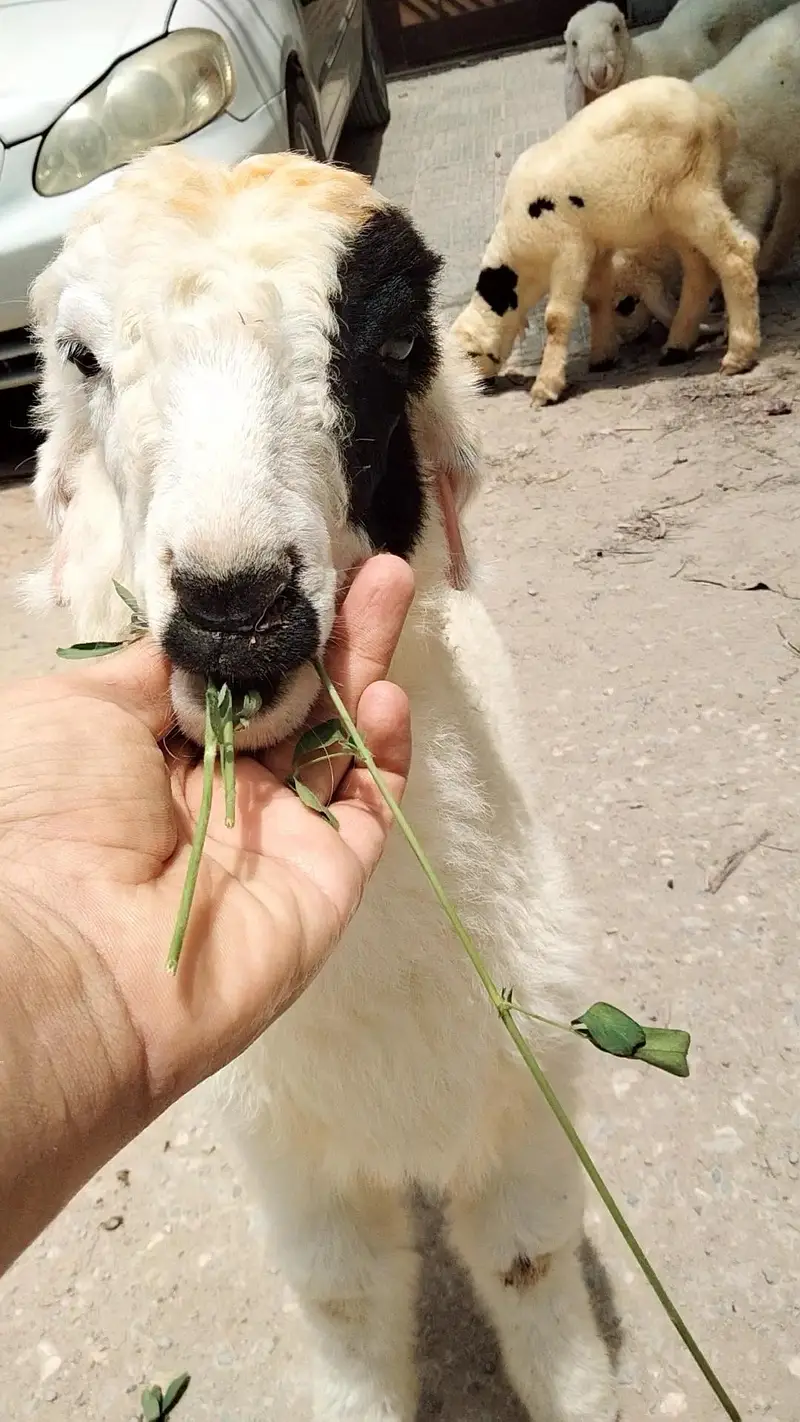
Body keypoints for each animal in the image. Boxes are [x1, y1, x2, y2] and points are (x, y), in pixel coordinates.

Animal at [26, 146, 619, 1422]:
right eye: (82, 357)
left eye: (394, 344)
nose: (235, 612)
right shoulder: (293, 1162)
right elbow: (344, 1301)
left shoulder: (524, 1103)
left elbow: (529, 1263)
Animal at [451, 75, 760, 407]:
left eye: (468, 356)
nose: (471, 391)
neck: (521, 263)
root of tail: (714, 106)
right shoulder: (595, 247)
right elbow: (596, 300)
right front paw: (602, 357)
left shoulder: (569, 249)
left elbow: (556, 318)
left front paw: (546, 387)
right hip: (672, 215)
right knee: (699, 270)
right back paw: (677, 346)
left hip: (691, 192)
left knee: (737, 253)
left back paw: (739, 355)